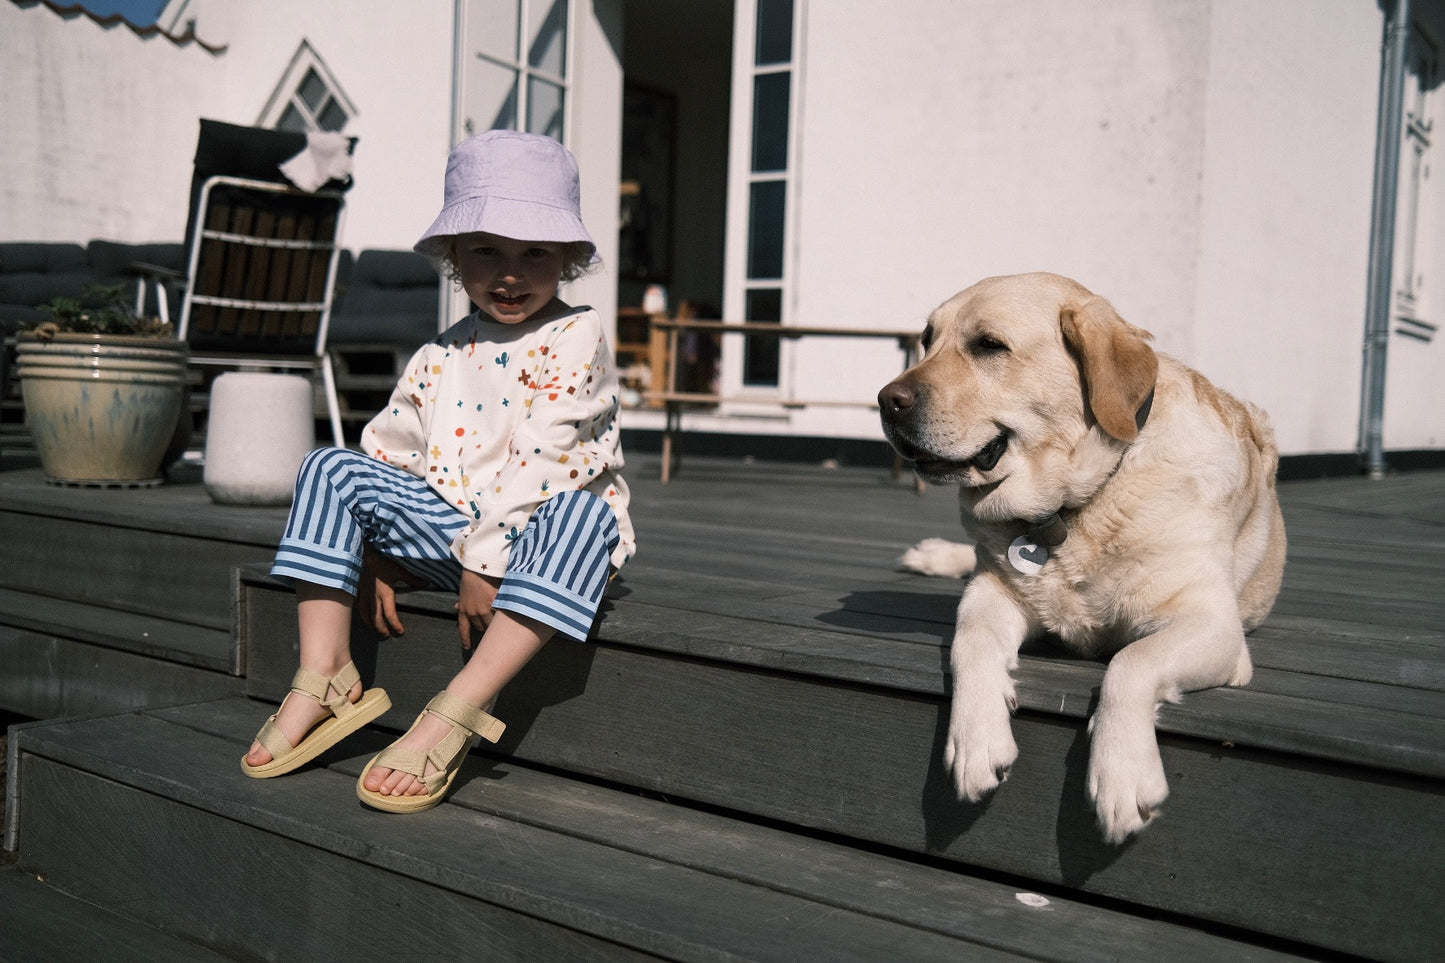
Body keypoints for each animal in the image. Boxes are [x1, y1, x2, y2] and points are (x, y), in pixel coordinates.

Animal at [872, 270, 1283, 838]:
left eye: (989, 346)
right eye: (927, 339)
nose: (885, 399)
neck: (1074, 505)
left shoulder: (1213, 626)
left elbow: (1131, 662)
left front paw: (1123, 774)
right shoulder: (992, 592)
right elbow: (969, 641)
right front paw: (976, 741)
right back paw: (932, 555)